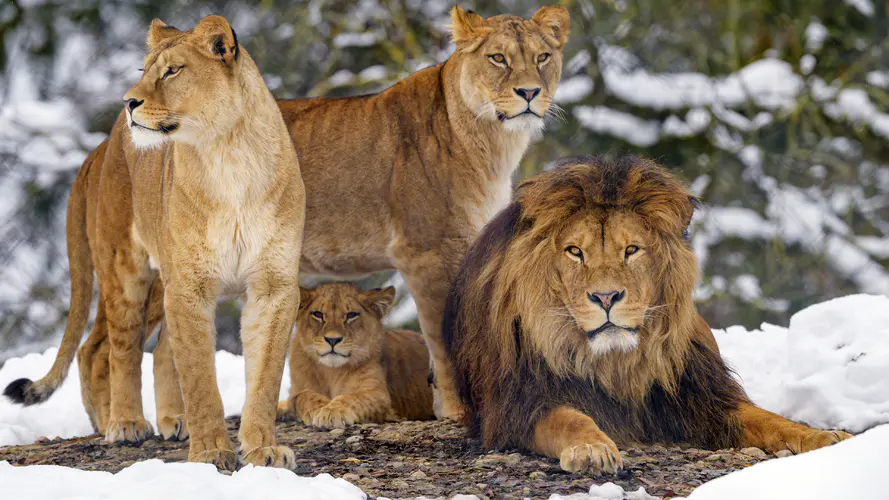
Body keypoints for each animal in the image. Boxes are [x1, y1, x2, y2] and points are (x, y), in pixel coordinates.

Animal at [5, 14, 306, 468]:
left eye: (172, 71)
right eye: (143, 70)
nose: (128, 102)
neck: (229, 155)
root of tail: (100, 147)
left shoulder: (273, 286)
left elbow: (264, 376)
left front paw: (262, 450)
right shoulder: (190, 285)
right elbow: (199, 377)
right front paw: (210, 453)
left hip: (164, 282)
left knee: (160, 349)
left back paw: (171, 419)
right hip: (126, 271)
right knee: (115, 349)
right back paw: (125, 423)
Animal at [276, 284, 432, 428]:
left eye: (351, 315)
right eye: (318, 314)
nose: (332, 340)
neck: (331, 372)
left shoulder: (378, 395)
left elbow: (352, 398)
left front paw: (332, 411)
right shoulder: (297, 389)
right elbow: (301, 397)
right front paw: (318, 408)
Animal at [444, 155, 852, 472]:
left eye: (632, 250)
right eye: (575, 252)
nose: (606, 296)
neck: (613, 362)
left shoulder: (703, 396)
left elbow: (771, 419)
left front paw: (823, 435)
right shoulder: (520, 404)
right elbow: (568, 419)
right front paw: (592, 448)